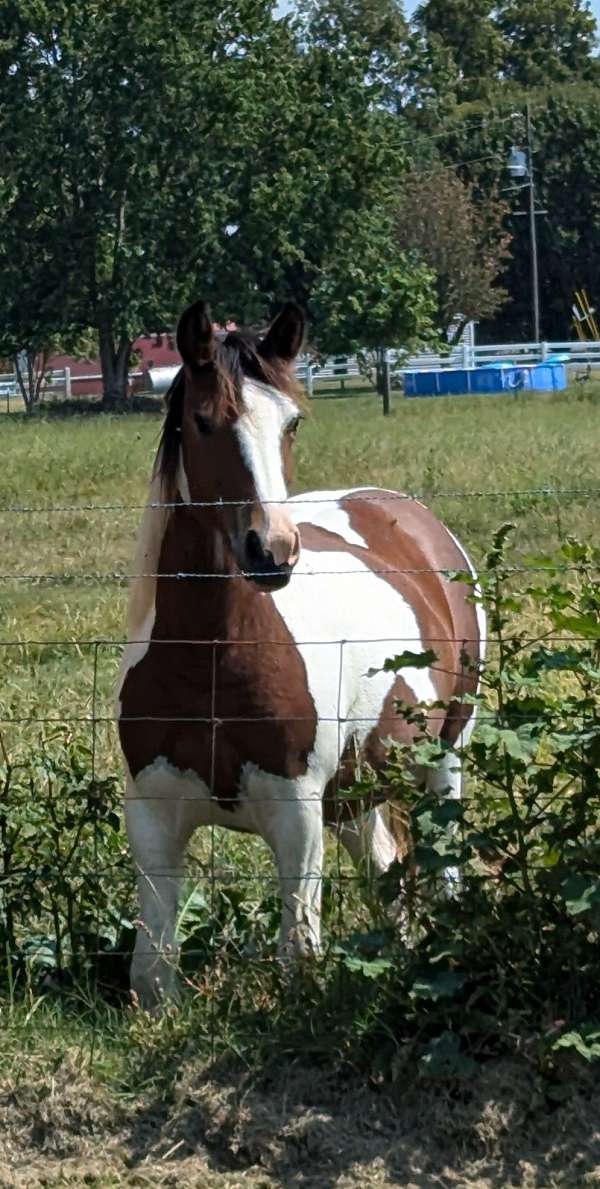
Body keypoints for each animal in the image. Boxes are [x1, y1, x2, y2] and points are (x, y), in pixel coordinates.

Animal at [118, 299, 482, 1003]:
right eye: (203, 420)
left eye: (292, 422)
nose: (272, 550)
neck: (210, 662)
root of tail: (408, 515)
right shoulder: (151, 816)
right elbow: (153, 972)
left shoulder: (296, 816)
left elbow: (298, 955)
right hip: (355, 789)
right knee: (386, 871)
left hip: (444, 757)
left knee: (443, 868)